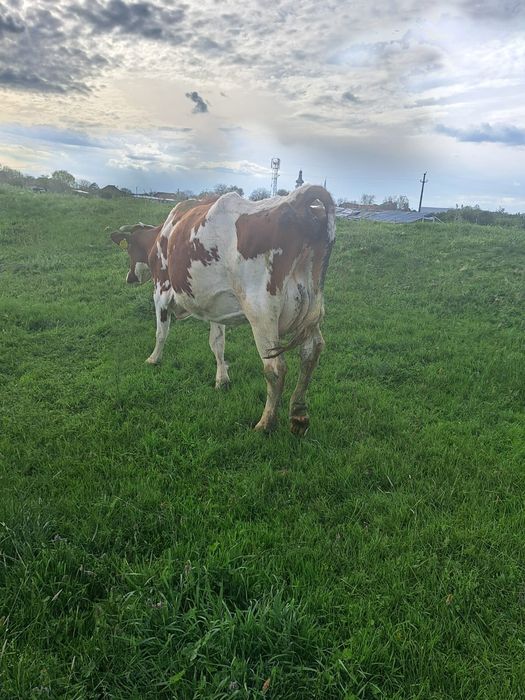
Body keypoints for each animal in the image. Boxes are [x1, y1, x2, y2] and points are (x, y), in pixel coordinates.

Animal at [110, 184, 335, 435]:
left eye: (129, 249)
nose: (129, 278)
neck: (162, 236)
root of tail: (297, 202)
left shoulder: (160, 291)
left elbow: (161, 332)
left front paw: (153, 359)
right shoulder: (215, 304)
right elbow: (217, 343)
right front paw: (222, 379)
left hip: (261, 312)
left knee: (275, 368)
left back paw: (265, 423)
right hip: (312, 310)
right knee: (310, 354)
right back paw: (298, 415)